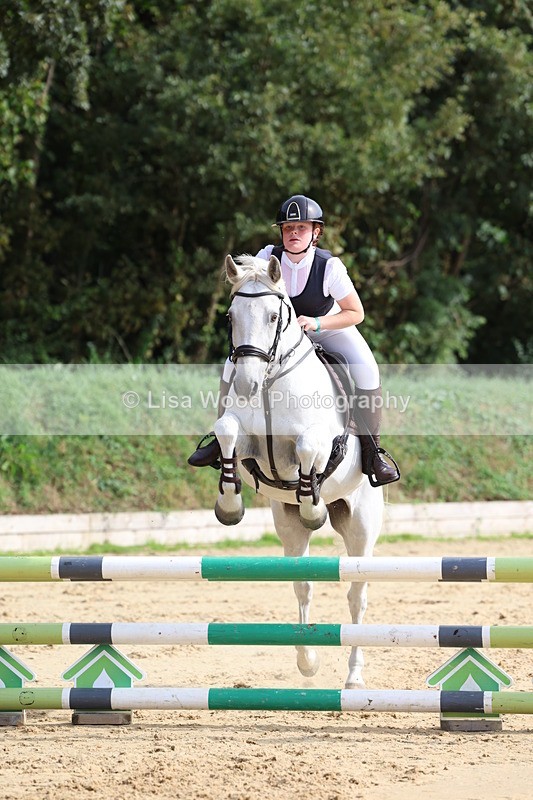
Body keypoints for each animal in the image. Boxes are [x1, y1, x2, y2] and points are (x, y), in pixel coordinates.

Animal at [213, 253, 383, 688]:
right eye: (230, 316)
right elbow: (226, 432)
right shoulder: (249, 443)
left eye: (275, 316)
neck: (272, 381)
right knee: (303, 585)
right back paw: (308, 662)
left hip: (361, 524)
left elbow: (307, 447)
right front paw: (229, 505)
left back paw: (354, 677)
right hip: (286, 525)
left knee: (357, 595)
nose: (247, 384)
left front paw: (313, 505)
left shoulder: (318, 441)